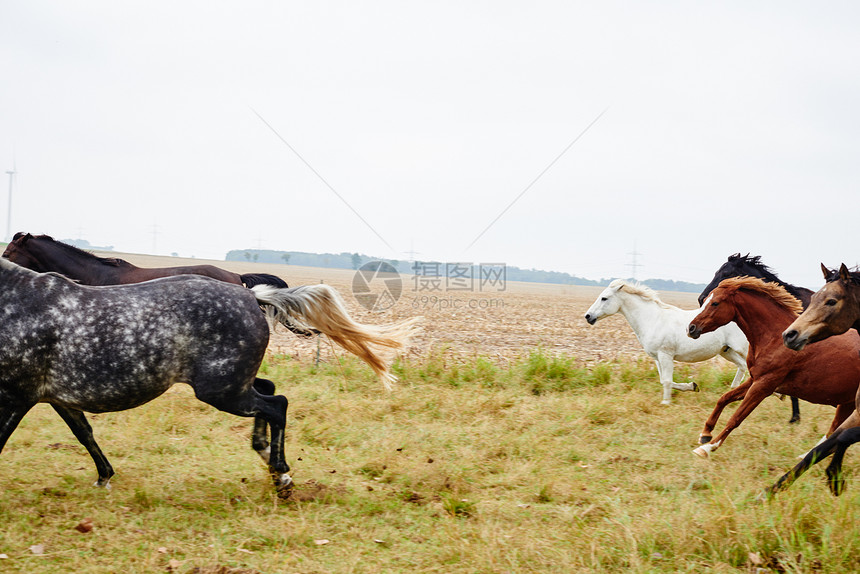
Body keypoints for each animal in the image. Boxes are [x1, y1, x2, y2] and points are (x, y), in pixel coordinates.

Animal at [0, 258, 420, 498]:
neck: (18, 302)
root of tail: (253, 296)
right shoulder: (54, 396)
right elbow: (84, 433)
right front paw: (104, 478)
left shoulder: (16, 396)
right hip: (232, 383)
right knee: (270, 394)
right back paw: (266, 457)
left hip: (221, 390)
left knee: (277, 404)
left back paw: (281, 476)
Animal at [584, 282, 744, 408]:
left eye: (604, 298)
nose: (588, 316)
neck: (653, 320)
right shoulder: (657, 357)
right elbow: (664, 380)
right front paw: (692, 386)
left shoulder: (665, 355)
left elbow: (667, 380)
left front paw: (665, 403)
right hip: (726, 351)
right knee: (742, 366)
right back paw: (735, 393)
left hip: (742, 348)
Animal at [684, 276, 860, 462]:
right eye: (706, 301)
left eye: (715, 303)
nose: (691, 328)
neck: (774, 338)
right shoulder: (754, 379)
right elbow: (724, 398)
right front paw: (705, 434)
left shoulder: (764, 386)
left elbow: (736, 418)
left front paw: (707, 447)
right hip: (847, 402)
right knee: (834, 430)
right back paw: (805, 456)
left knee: (835, 430)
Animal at [764, 264, 860, 498]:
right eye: (815, 296)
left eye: (832, 301)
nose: (789, 335)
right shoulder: (857, 413)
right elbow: (819, 449)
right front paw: (770, 492)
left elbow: (843, 438)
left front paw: (835, 478)